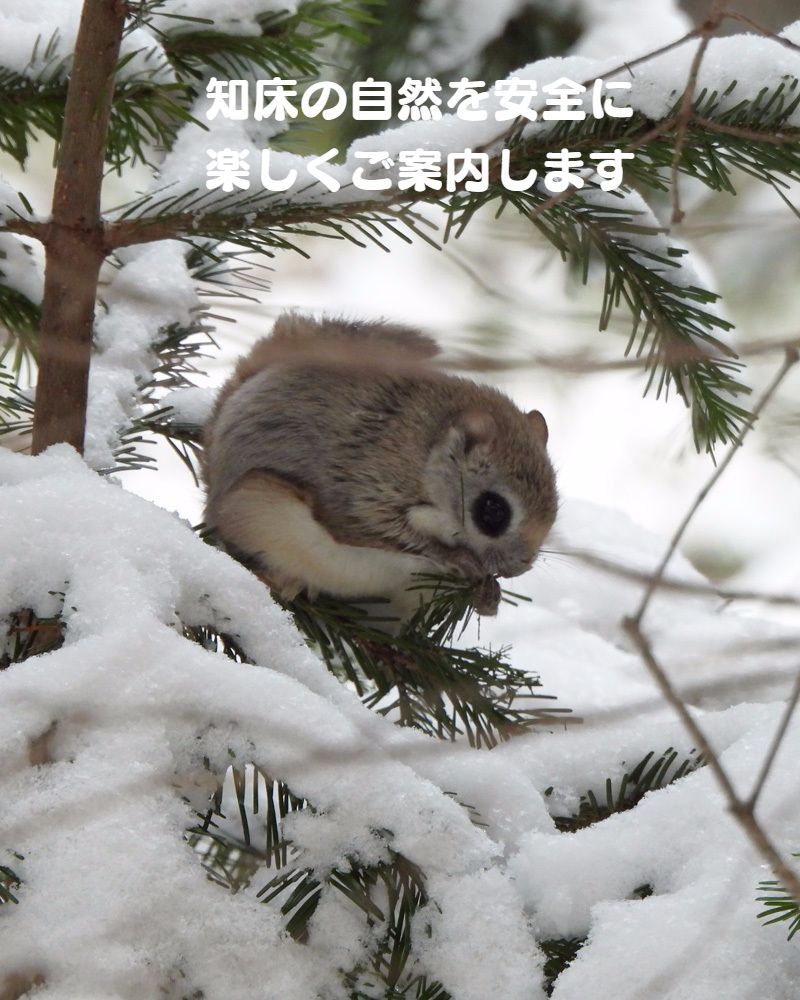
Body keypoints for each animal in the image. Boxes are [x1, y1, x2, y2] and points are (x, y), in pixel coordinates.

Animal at [202, 313, 558, 618]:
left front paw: (488, 593)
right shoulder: (363, 487)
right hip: (259, 506)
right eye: (493, 511)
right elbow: (378, 531)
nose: (519, 568)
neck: (423, 453)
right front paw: (458, 559)